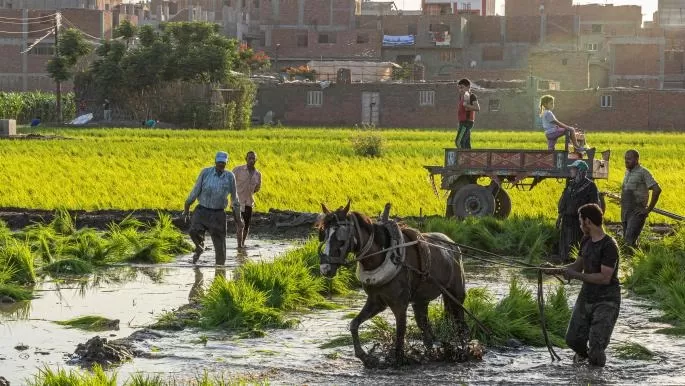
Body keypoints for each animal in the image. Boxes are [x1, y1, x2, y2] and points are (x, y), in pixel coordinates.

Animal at [318, 201, 468, 366]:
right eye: (323, 234)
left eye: (340, 236)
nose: (325, 268)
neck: (382, 256)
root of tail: (452, 244)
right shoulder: (376, 302)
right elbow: (354, 324)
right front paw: (365, 357)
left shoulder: (399, 305)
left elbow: (400, 334)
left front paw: (398, 360)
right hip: (421, 301)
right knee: (425, 328)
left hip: (456, 295)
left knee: (461, 325)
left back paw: (463, 350)